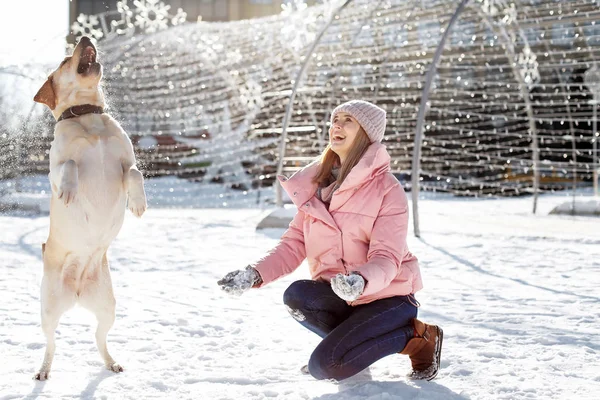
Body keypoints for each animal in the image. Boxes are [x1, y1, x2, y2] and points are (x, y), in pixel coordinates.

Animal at [31, 36, 148, 380]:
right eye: (63, 61)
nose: (84, 38)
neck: (88, 117)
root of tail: (78, 289)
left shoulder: (127, 163)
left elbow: (135, 173)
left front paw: (138, 202)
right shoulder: (54, 169)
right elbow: (69, 165)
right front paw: (69, 191)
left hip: (108, 307)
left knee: (99, 337)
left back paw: (111, 362)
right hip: (48, 310)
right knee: (51, 343)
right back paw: (43, 371)